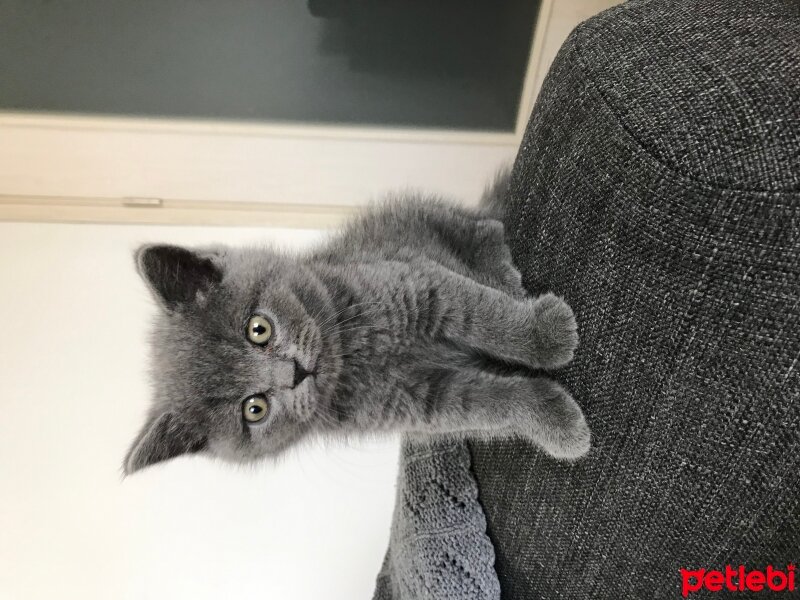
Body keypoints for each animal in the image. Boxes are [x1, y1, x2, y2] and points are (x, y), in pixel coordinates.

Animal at [123, 183, 588, 474]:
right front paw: (558, 420)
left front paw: (549, 336)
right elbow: (488, 404)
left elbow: (486, 315)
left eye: (258, 329)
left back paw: (498, 268)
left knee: (479, 226)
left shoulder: (420, 285)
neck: (351, 354)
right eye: (254, 409)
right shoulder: (424, 400)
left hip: (415, 218)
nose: (295, 372)